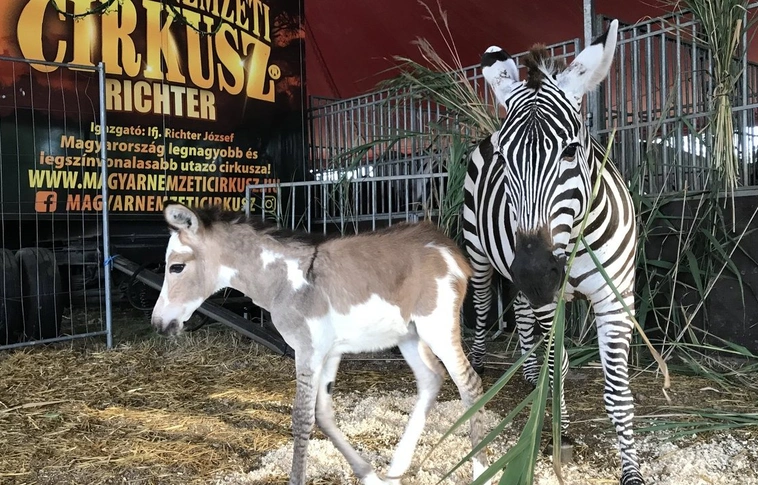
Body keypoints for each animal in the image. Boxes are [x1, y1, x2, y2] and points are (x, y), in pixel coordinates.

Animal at [462, 20, 645, 485]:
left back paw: (528, 373)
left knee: (520, 311)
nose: (534, 271)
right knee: (486, 302)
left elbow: (618, 391)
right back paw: (480, 364)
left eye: (571, 150)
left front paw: (631, 470)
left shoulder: (616, 298)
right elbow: (559, 367)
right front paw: (557, 436)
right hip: (479, 250)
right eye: (505, 160)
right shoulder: (551, 301)